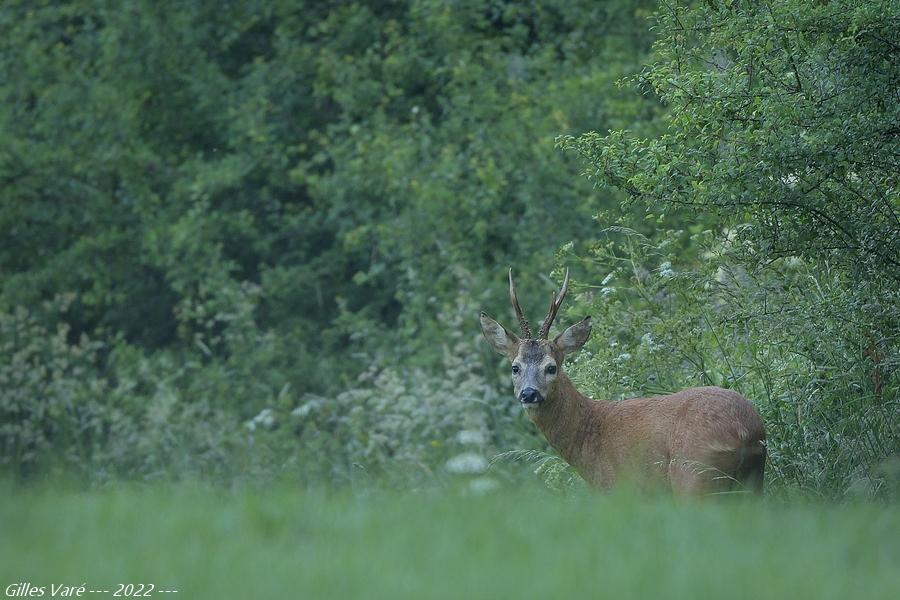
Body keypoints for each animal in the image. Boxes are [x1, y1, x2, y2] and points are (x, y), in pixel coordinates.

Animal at [478, 270, 768, 494]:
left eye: (551, 367)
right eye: (515, 367)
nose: (529, 393)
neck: (588, 434)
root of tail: (746, 431)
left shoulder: (617, 489)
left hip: (695, 474)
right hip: (752, 482)